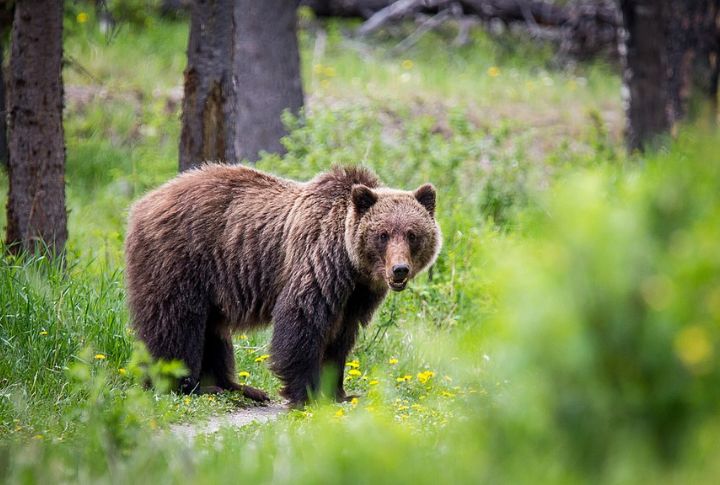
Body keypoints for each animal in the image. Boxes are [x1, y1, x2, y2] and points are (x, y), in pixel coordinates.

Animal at [124, 164, 441, 406]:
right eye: (383, 234)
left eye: (412, 234)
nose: (399, 270)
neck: (350, 265)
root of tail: (143, 202)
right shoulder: (316, 263)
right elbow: (301, 323)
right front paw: (307, 394)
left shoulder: (355, 296)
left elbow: (340, 339)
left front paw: (341, 392)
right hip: (181, 259)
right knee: (176, 322)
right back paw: (183, 384)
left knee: (213, 331)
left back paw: (239, 388)